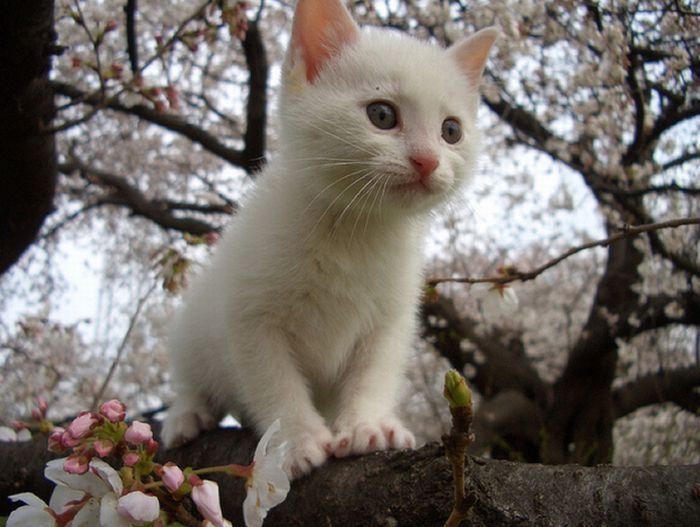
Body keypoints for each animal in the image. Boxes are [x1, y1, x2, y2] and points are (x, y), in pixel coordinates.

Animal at [161, 0, 494, 478]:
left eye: (452, 131)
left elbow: (374, 373)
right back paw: (186, 414)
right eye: (381, 115)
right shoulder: (249, 314)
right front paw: (296, 441)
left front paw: (367, 425)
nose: (428, 160)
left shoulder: (390, 318)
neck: (355, 230)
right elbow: (273, 381)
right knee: (189, 372)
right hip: (195, 322)